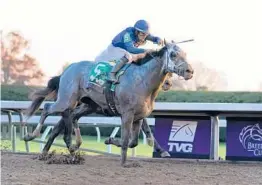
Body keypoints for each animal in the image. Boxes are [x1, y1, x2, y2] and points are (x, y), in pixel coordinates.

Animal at [24, 40, 193, 166]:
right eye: (173, 54)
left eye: (185, 54)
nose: (190, 71)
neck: (142, 81)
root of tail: (67, 70)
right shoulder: (127, 114)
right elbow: (126, 140)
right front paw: (124, 163)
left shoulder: (138, 117)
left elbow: (133, 142)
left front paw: (110, 140)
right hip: (66, 100)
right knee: (47, 109)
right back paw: (32, 136)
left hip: (87, 105)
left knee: (69, 118)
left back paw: (67, 149)